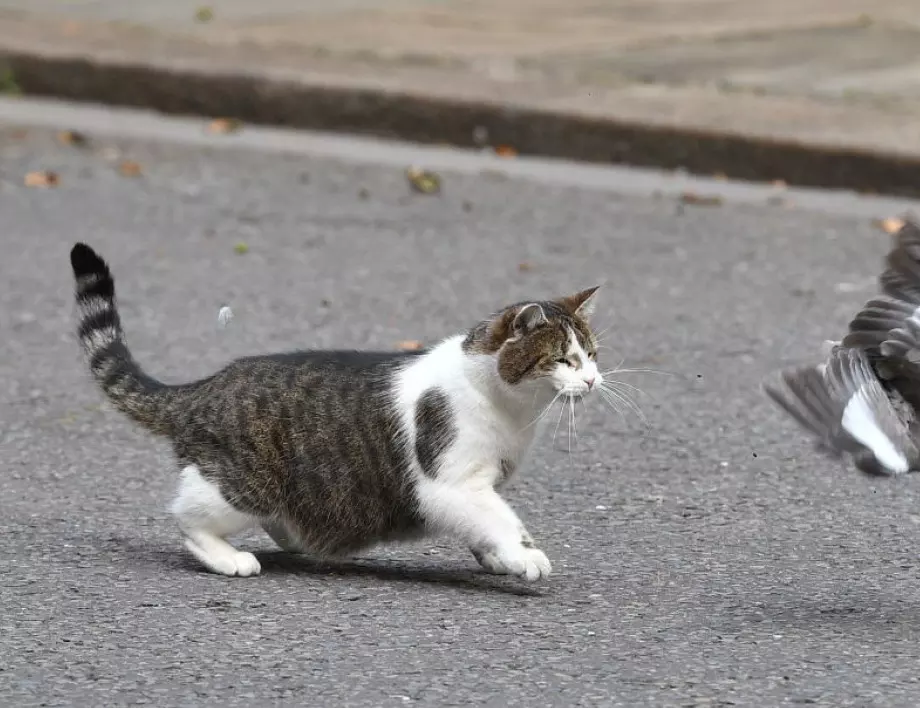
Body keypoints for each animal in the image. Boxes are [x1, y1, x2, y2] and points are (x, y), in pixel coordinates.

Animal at [72, 243, 604, 580]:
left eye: (593, 354)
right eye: (563, 359)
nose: (594, 380)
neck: (513, 412)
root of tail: (206, 386)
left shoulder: (478, 486)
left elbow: (487, 523)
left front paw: (498, 559)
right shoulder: (452, 483)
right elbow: (502, 519)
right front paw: (523, 556)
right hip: (243, 485)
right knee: (187, 518)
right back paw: (229, 557)